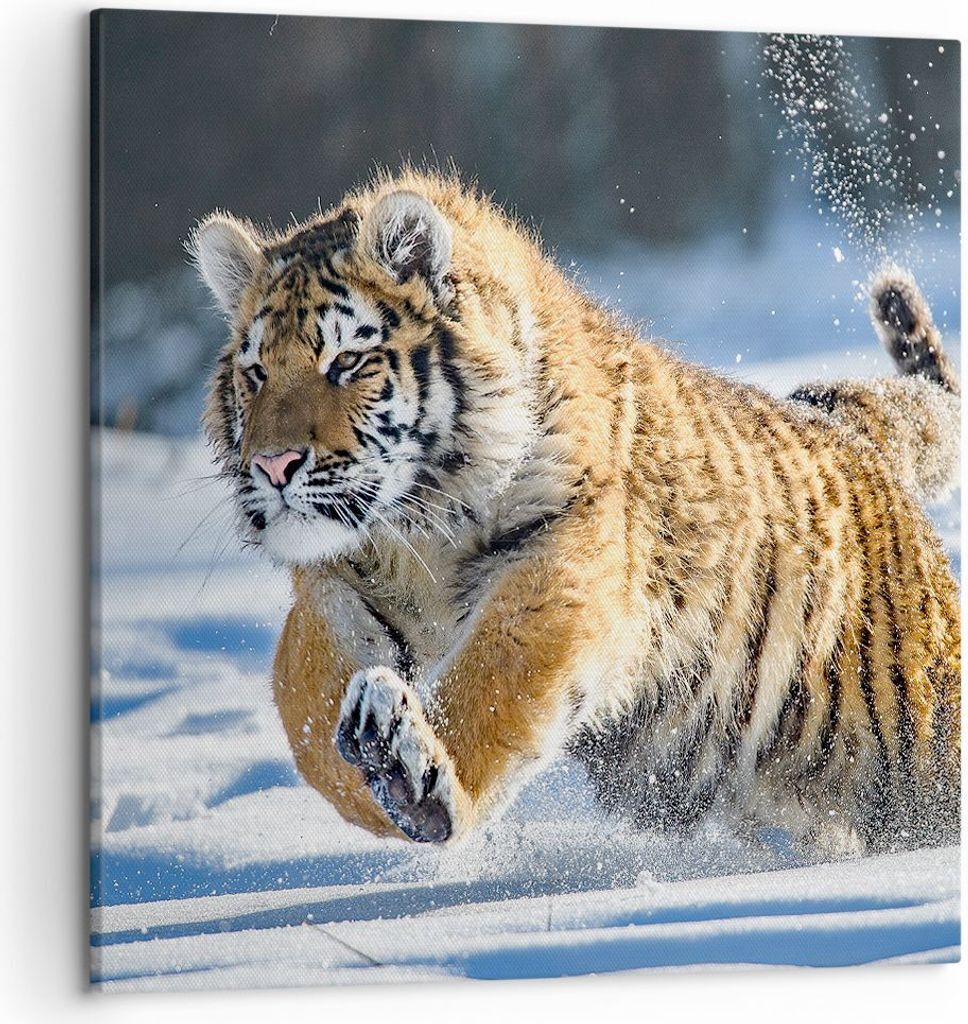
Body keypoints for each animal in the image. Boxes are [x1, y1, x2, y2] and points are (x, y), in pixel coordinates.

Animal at [191, 168, 960, 858]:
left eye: (348, 362)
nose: (274, 466)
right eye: (256, 373)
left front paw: (415, 778)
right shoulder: (333, 584)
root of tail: (851, 426)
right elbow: (307, 705)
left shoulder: (560, 559)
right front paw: (372, 776)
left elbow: (493, 681)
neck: (415, 524)